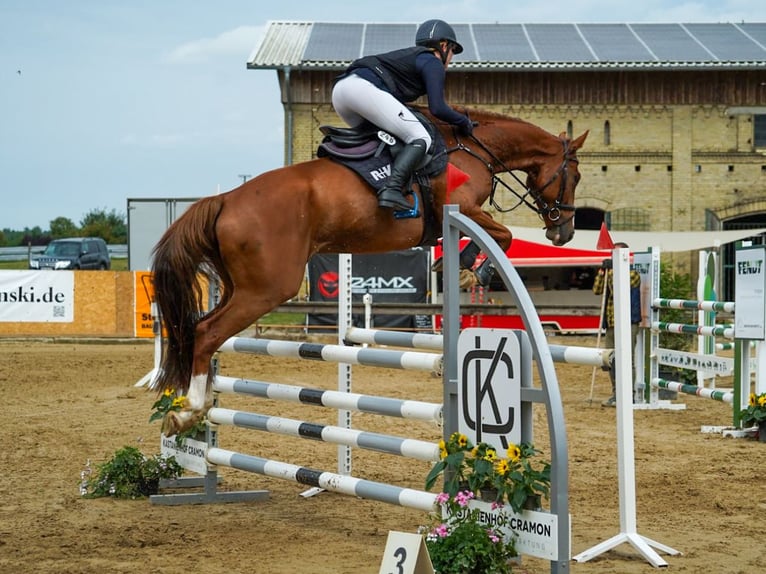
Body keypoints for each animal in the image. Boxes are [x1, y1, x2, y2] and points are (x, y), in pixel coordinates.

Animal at [154, 108, 588, 434]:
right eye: (577, 175)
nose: (563, 232)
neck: (472, 149)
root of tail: (226, 199)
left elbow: (502, 234)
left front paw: (458, 267)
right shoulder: (463, 207)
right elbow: (505, 234)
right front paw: (469, 272)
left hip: (239, 286)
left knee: (196, 329)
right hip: (267, 289)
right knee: (206, 332)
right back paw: (188, 410)